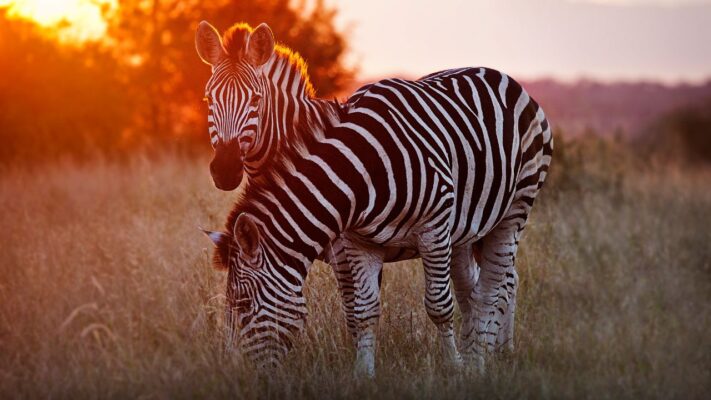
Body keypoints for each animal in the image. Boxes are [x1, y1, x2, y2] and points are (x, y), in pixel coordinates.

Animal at [195, 21, 553, 374]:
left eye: (255, 100)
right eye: (208, 99)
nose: (225, 169)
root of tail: (495, 72)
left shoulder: (416, 232)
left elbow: (425, 305)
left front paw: (451, 368)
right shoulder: (359, 241)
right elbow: (363, 310)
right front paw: (364, 372)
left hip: (513, 210)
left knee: (498, 285)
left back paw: (489, 356)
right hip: (468, 229)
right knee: (479, 287)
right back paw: (483, 350)